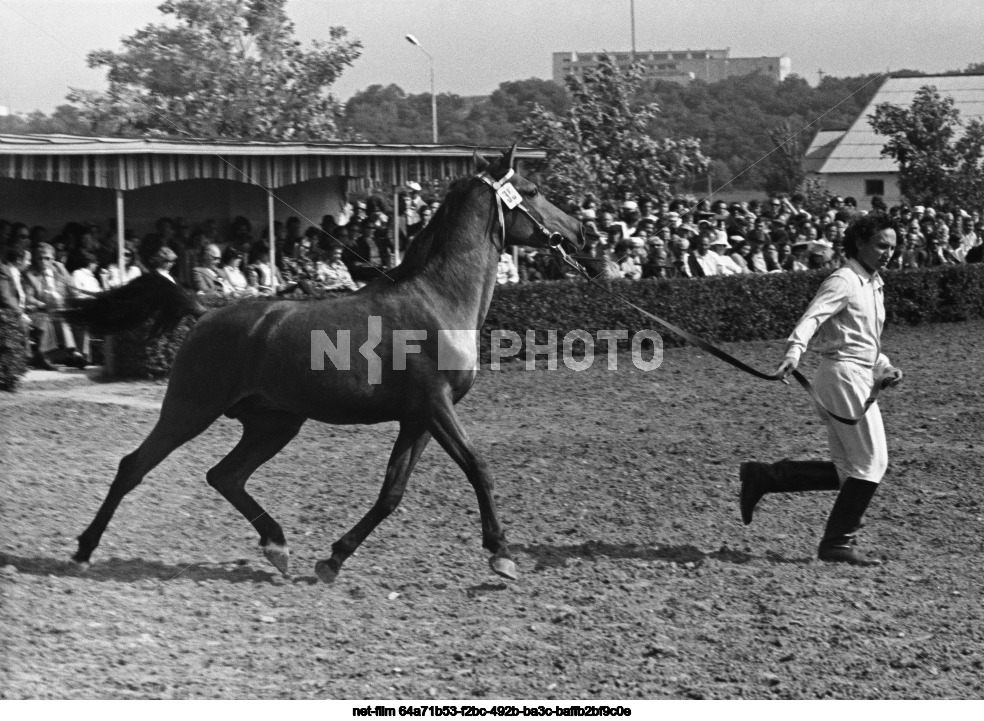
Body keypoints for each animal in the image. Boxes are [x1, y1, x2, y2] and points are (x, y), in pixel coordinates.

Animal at [67, 143, 584, 584]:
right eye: (533, 190)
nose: (581, 231)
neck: (438, 300)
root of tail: (205, 312)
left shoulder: (417, 418)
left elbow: (391, 493)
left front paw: (333, 558)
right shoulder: (436, 406)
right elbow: (478, 467)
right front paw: (501, 553)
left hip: (274, 423)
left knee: (225, 475)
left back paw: (277, 546)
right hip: (190, 409)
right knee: (134, 466)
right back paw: (83, 551)